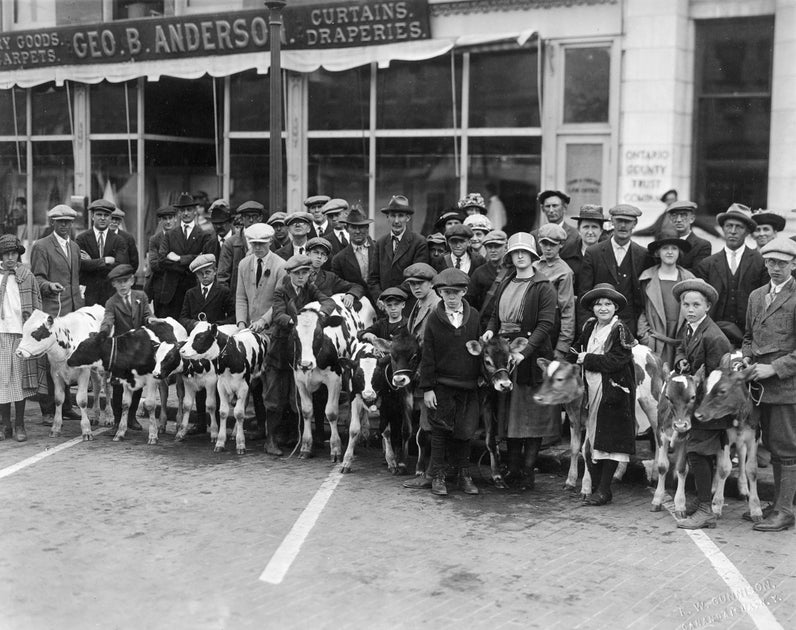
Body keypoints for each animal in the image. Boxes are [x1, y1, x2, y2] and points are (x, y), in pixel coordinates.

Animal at [16, 306, 108, 440]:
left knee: (108, 389)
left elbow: (82, 401)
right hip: (94, 369)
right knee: (97, 387)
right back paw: (95, 416)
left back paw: (110, 418)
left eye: (35, 333)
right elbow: (58, 399)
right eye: (24, 331)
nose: (18, 352)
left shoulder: (83, 373)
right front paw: (55, 428)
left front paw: (86, 430)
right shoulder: (55, 372)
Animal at [180, 324, 268, 456]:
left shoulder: (243, 387)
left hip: (255, 381)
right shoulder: (221, 386)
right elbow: (223, 412)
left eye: (200, 337)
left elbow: (239, 413)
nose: (181, 351)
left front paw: (240, 444)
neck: (232, 355)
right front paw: (220, 443)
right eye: (190, 335)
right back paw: (234, 433)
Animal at [466, 336, 528, 488]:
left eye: (510, 360)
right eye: (488, 362)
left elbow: (490, 441)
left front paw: (497, 475)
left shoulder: (488, 404)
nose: (505, 385)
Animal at [536, 346, 664, 498]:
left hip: (651, 402)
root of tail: (652, 354)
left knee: (657, 436)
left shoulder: (591, 420)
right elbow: (574, 448)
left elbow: (586, 450)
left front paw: (586, 487)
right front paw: (570, 481)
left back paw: (655, 476)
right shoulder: (573, 419)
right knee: (634, 429)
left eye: (559, 379)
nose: (538, 397)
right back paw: (618, 473)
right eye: (544, 377)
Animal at [692, 356, 760, 524]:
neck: (740, 416)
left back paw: (743, 488)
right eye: (704, 388)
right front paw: (716, 505)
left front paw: (756, 508)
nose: (698, 414)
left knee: (741, 456)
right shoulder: (724, 436)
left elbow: (751, 469)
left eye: (722, 391)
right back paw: (714, 486)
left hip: (742, 441)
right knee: (720, 459)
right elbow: (724, 468)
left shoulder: (754, 436)